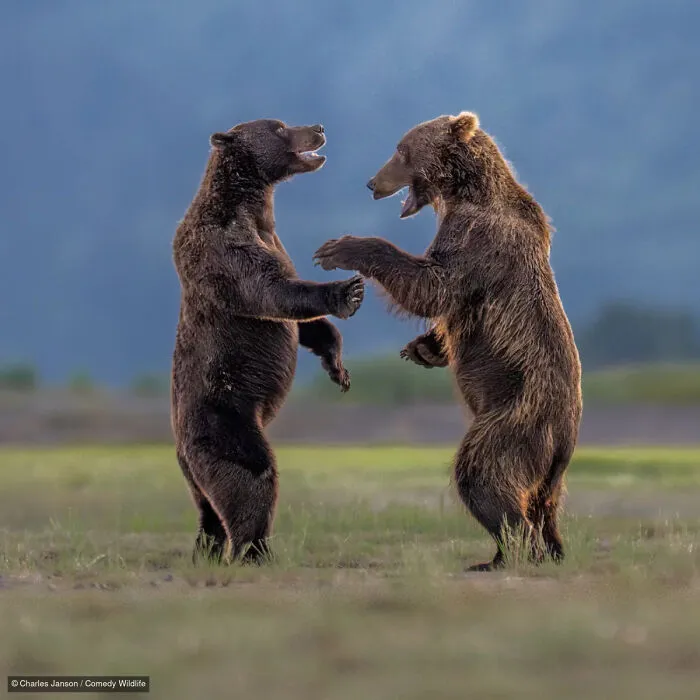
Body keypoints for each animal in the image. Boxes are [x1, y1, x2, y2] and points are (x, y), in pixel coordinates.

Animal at [171, 118, 365, 565]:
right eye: (277, 128)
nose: (318, 126)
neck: (255, 207)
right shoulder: (224, 247)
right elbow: (271, 292)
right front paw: (347, 292)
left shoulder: (273, 239)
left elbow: (302, 321)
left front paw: (337, 367)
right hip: (223, 415)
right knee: (251, 475)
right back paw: (254, 549)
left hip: (192, 465)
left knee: (207, 507)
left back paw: (208, 548)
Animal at [314, 112, 582, 571]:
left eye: (401, 150)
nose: (371, 182)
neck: (464, 192)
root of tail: (565, 440)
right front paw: (422, 349)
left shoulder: (476, 239)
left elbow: (433, 286)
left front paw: (339, 248)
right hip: (547, 463)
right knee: (544, 503)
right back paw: (544, 549)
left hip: (517, 413)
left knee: (482, 472)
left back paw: (510, 552)